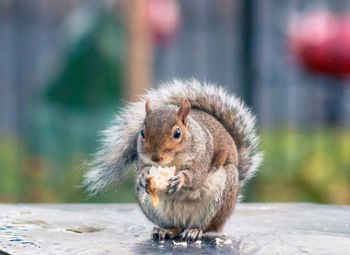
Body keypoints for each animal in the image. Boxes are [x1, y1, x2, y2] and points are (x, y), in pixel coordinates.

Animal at [83, 79, 262, 241]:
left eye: (177, 133)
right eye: (142, 132)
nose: (156, 157)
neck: (173, 161)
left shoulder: (202, 156)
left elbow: (196, 176)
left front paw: (180, 180)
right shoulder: (143, 159)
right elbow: (142, 169)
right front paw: (144, 176)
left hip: (221, 199)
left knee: (207, 227)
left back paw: (194, 231)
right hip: (154, 210)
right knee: (176, 227)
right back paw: (167, 230)